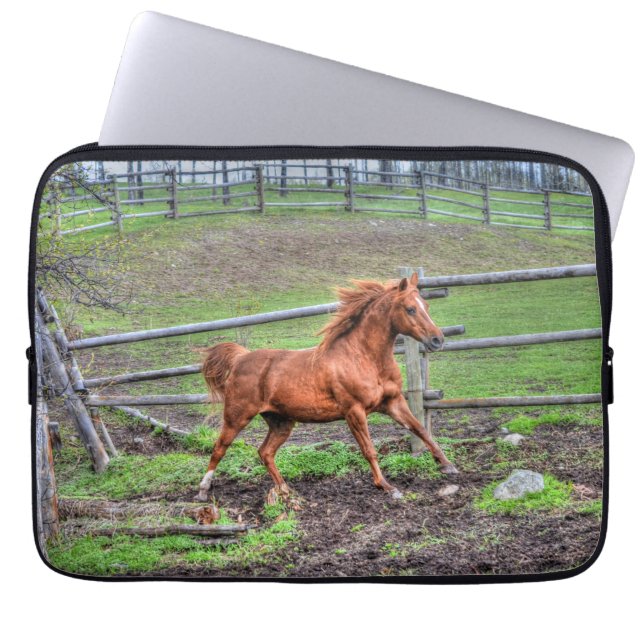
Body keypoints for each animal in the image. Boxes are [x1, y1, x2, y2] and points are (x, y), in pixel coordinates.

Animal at [196, 272, 458, 503]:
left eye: (426, 305)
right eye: (410, 309)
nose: (438, 340)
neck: (364, 359)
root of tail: (240, 359)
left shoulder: (393, 402)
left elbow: (420, 429)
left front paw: (447, 465)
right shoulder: (354, 411)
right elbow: (369, 449)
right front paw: (387, 487)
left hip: (281, 422)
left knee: (265, 452)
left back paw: (285, 489)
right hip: (237, 415)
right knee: (219, 448)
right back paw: (202, 491)